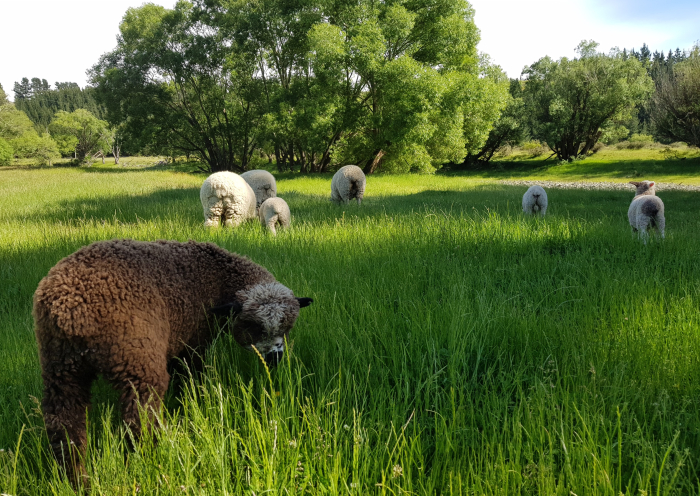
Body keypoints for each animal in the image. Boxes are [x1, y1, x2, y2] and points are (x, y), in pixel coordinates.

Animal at [32, 238, 312, 482]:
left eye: (287, 327)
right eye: (254, 327)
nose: (275, 358)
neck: (218, 276)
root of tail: (71, 310)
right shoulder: (194, 341)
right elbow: (192, 376)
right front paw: (196, 398)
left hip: (61, 367)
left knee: (63, 423)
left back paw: (75, 477)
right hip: (137, 361)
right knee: (139, 419)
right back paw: (152, 458)